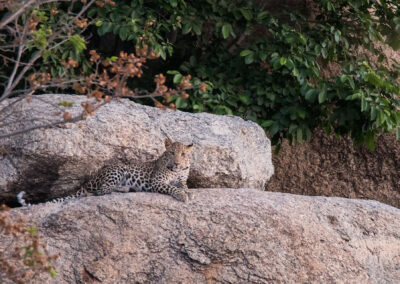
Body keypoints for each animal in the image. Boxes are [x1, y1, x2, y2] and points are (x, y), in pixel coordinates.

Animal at [17, 139, 194, 205]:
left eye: (183, 154)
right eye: (171, 153)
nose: (176, 163)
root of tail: (90, 180)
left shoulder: (182, 178)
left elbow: (183, 185)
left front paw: (187, 192)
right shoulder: (157, 182)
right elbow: (171, 187)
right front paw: (182, 195)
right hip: (118, 171)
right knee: (101, 190)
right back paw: (125, 188)